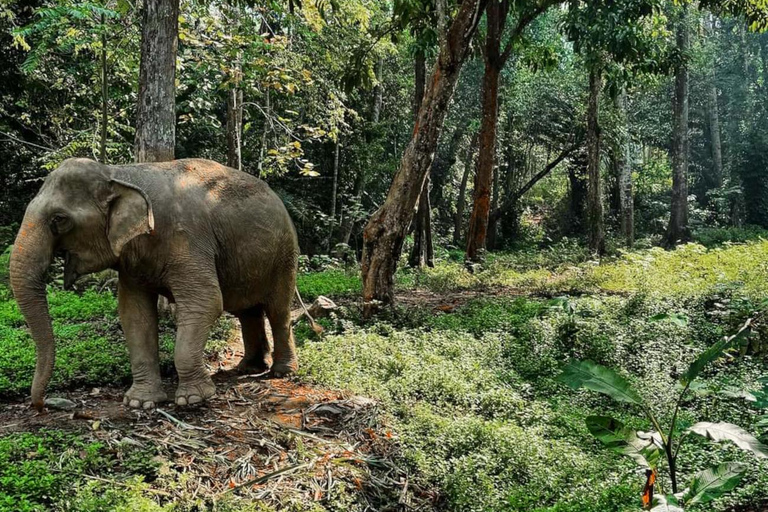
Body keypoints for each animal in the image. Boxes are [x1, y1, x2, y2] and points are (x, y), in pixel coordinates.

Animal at [12, 158, 300, 410]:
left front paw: (193, 399)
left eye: (59, 219)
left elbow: (206, 301)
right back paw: (248, 368)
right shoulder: (132, 263)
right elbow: (134, 314)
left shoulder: (188, 240)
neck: (120, 173)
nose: (41, 406)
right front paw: (140, 402)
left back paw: (281, 373)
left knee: (278, 310)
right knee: (247, 311)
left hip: (285, 255)